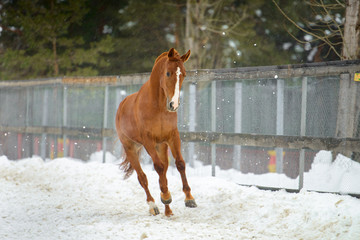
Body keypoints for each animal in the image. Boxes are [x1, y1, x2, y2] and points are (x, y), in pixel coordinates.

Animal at [115, 47, 197, 216]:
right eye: (168, 73)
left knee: (164, 172)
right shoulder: (148, 141)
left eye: (184, 74)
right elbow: (158, 168)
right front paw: (165, 196)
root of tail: (121, 106)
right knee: (142, 177)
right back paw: (154, 206)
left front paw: (189, 198)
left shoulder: (173, 137)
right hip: (131, 148)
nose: (173, 105)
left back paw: (168, 210)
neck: (158, 107)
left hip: (161, 146)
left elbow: (180, 164)